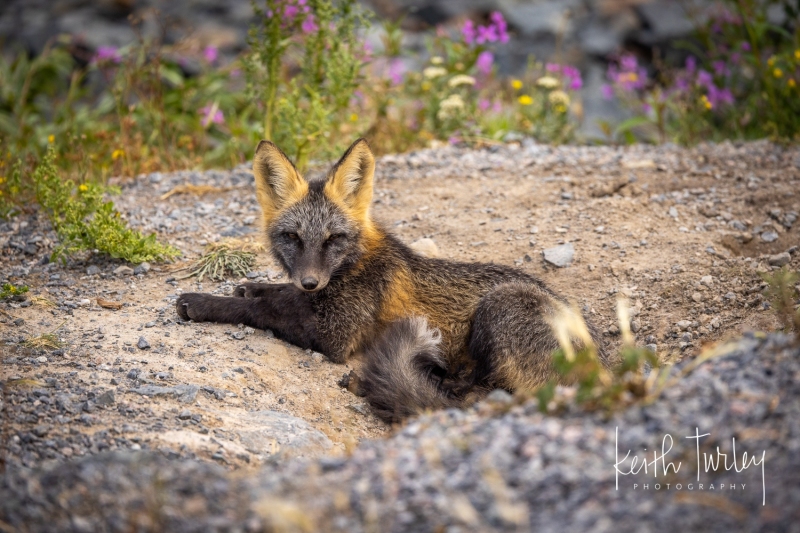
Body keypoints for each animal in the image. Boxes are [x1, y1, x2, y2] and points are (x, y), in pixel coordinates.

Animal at [176, 138, 607, 422]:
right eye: (292, 238)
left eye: (333, 239)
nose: (311, 282)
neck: (354, 266)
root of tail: (603, 367)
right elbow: (275, 295)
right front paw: (252, 286)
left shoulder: (336, 336)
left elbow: (262, 309)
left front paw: (205, 302)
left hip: (499, 309)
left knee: (465, 398)